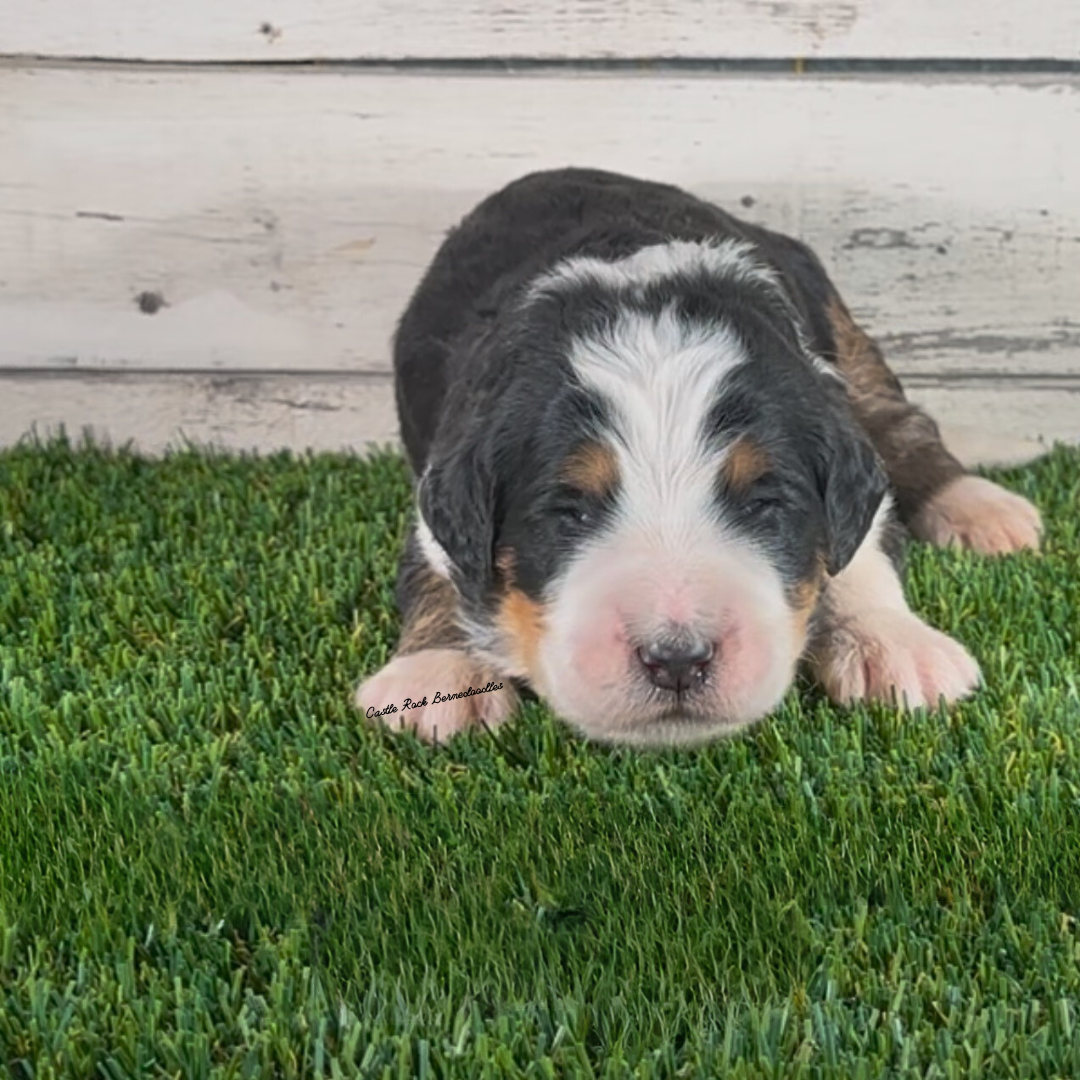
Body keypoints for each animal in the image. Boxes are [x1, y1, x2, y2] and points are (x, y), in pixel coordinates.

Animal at [358, 168, 1041, 747]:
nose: (677, 660)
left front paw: (890, 644)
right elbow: (437, 568)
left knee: (902, 426)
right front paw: (438, 672)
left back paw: (983, 510)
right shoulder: (442, 465)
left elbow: (859, 549)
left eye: (763, 504)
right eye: (569, 512)